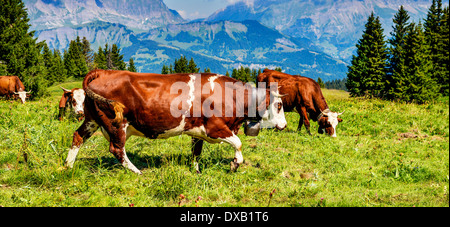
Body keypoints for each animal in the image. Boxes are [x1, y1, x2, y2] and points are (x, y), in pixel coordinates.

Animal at [64, 70, 286, 175]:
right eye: (279, 105)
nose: (284, 126)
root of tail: (103, 72)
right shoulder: (215, 128)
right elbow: (238, 144)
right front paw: (234, 164)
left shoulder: (198, 131)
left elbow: (196, 152)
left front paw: (196, 171)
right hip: (116, 124)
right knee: (117, 149)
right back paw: (137, 172)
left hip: (92, 119)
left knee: (77, 137)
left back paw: (68, 166)